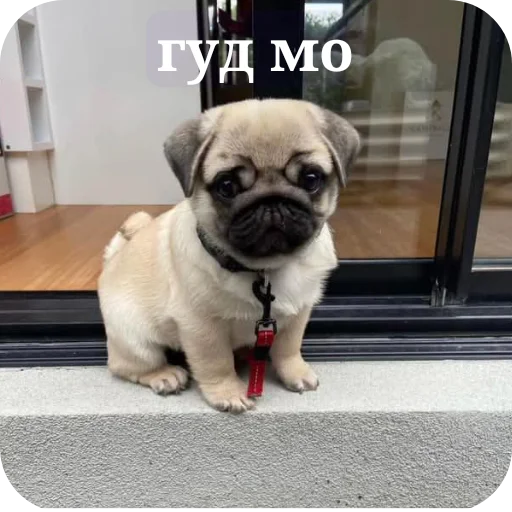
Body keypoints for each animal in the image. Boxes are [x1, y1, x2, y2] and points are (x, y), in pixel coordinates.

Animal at [98, 98, 360, 413]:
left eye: (311, 179)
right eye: (227, 186)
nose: (271, 201)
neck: (264, 270)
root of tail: (112, 262)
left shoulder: (298, 314)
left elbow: (289, 347)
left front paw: (295, 372)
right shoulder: (201, 326)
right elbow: (216, 362)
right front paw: (227, 392)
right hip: (137, 341)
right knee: (127, 365)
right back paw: (164, 375)